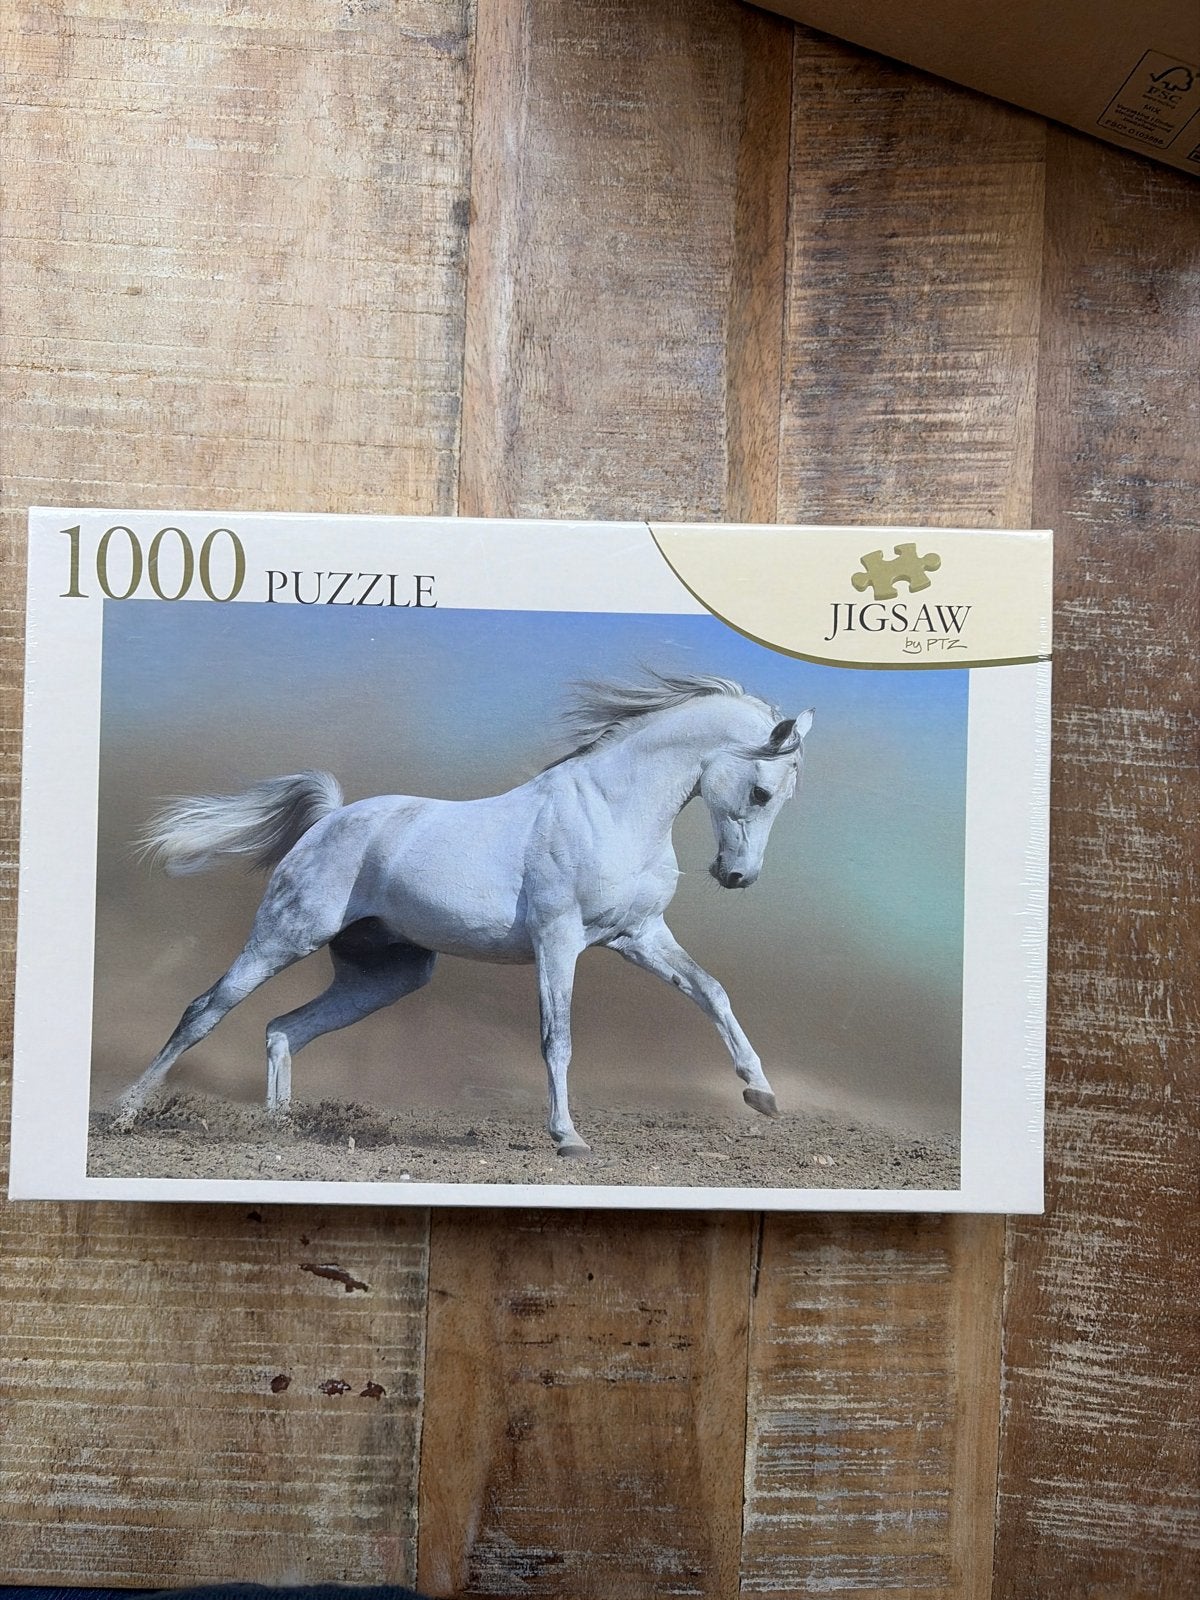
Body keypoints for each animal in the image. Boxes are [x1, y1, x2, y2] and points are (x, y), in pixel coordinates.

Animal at [111, 672, 813, 1156]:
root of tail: (329, 819)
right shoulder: (558, 941)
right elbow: (557, 1038)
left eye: (783, 798)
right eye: (761, 791)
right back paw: (125, 1112)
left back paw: (282, 1128)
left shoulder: (638, 936)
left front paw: (761, 1094)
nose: (737, 876)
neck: (611, 810)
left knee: (285, 1028)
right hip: (283, 937)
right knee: (205, 1010)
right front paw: (567, 1138)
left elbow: (712, 992)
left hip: (386, 976)